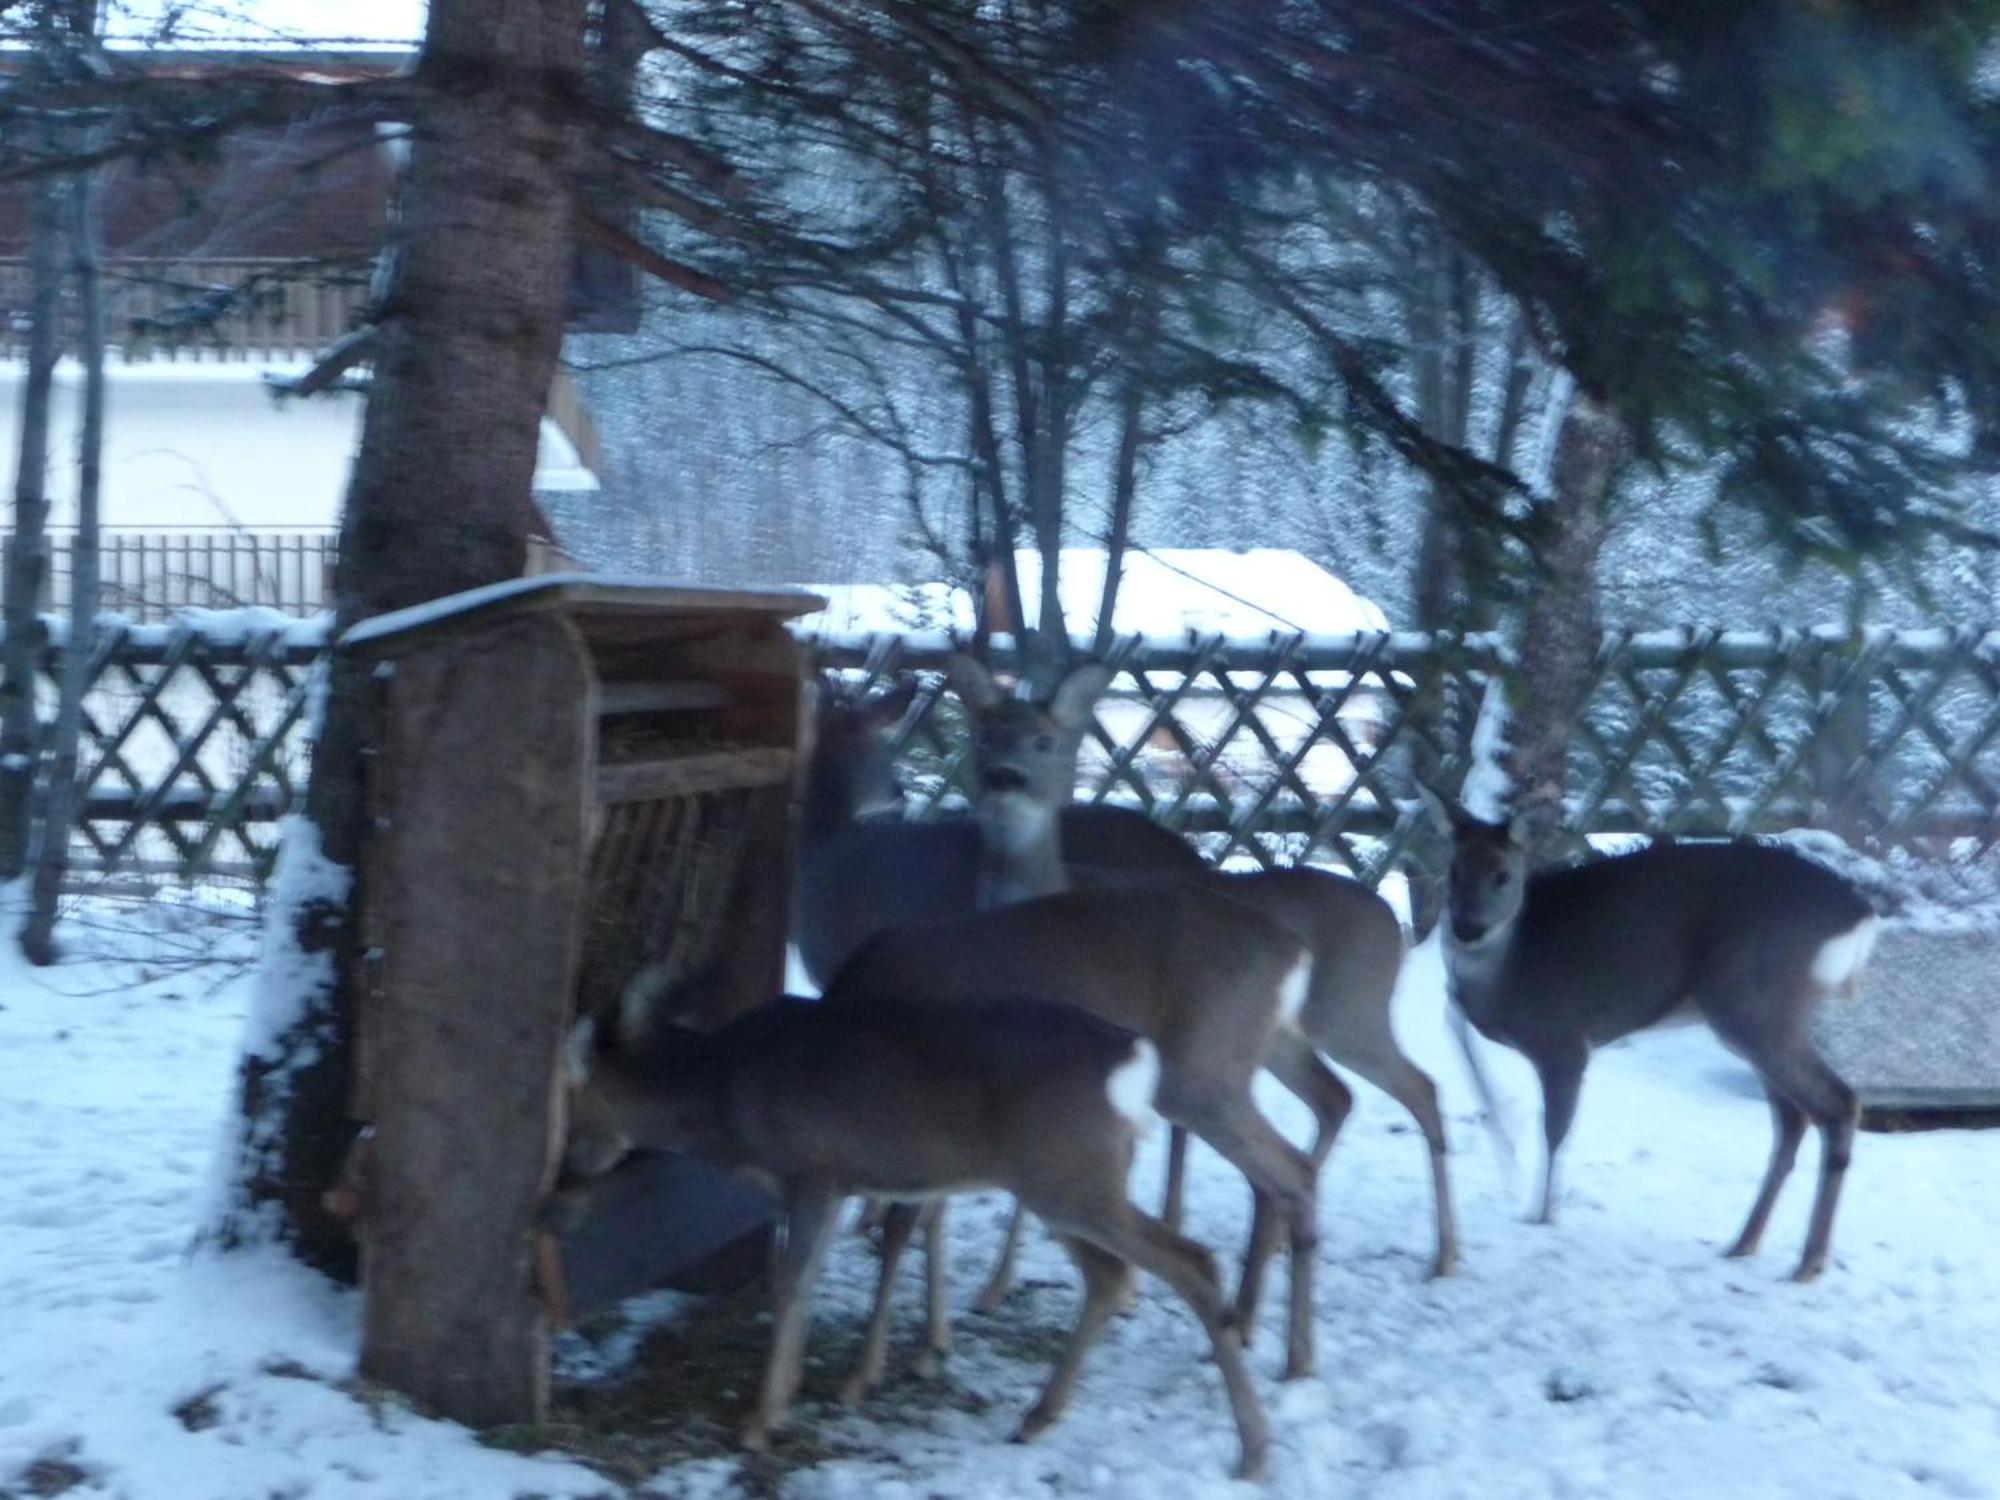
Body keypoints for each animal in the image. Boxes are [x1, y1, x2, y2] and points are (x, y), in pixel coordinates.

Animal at [556, 1000, 1272, 1480]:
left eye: (566, 1105)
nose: (565, 1177)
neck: (719, 1094)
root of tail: (1135, 1061)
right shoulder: (834, 1185)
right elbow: (805, 1280)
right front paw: (790, 1396)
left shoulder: (813, 1170)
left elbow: (791, 1283)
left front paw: (759, 1423)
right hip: (1070, 1181)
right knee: (1111, 1276)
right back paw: (1037, 1418)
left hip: (1069, 1178)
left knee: (1190, 1261)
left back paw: (1253, 1452)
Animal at [1424, 788, 1872, 1280]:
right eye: (1454, 871)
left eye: (1503, 875)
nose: (1467, 927)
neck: (1507, 969)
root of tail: (1860, 915)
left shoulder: (1564, 1041)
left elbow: (1556, 1131)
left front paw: (1540, 1218)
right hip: (1759, 1017)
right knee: (1793, 1119)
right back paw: (1744, 1243)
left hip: (1756, 1002)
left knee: (1838, 1102)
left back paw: (1808, 1263)